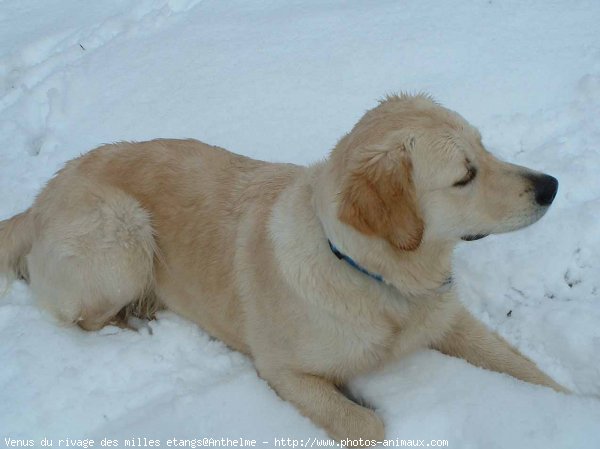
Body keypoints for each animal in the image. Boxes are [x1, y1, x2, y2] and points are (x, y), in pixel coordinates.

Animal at [0, 93, 564, 440]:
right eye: (465, 176)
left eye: (485, 148)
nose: (551, 186)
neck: (377, 276)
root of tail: (39, 199)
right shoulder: (282, 369)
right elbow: (368, 425)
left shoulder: (449, 319)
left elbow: (530, 370)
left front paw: (570, 407)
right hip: (124, 234)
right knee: (84, 318)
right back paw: (136, 318)